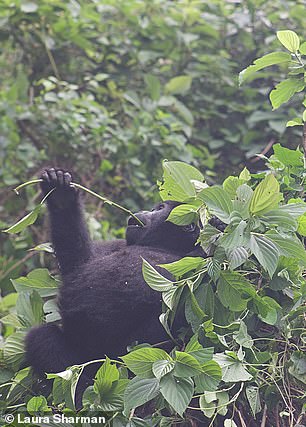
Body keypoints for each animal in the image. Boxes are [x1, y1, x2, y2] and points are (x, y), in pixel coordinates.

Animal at [25, 166, 201, 392]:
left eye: (160, 208)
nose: (145, 212)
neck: (163, 245)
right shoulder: (114, 245)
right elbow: (78, 263)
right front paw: (61, 198)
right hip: (84, 358)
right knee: (42, 340)